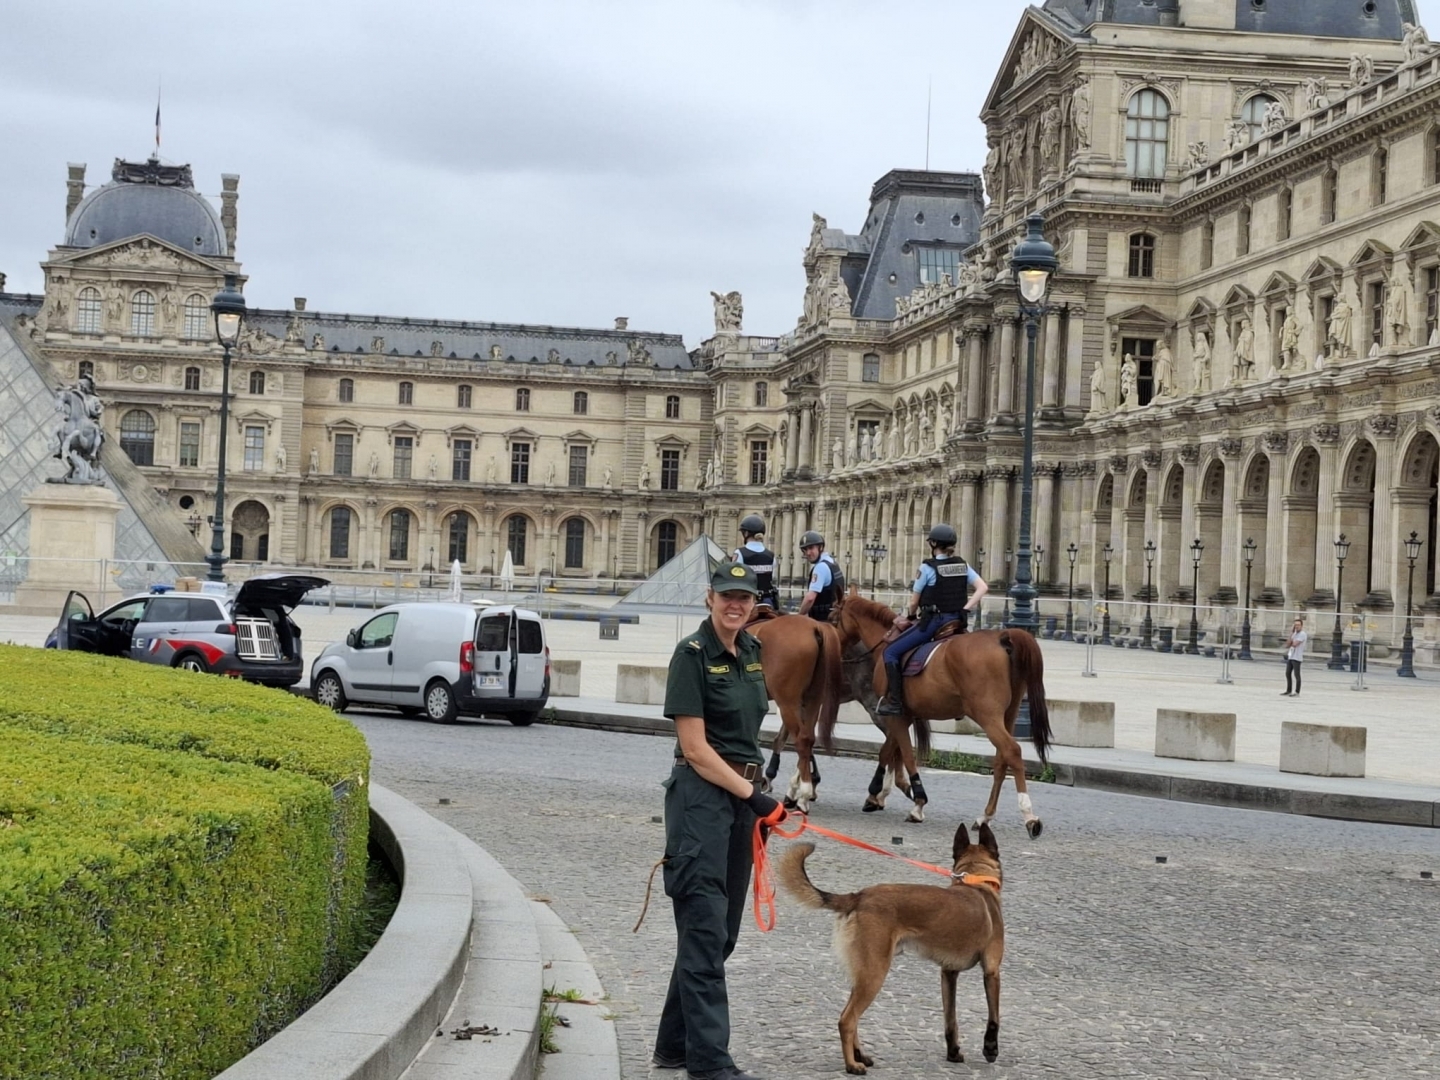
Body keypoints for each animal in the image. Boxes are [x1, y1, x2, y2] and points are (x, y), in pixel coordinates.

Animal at [743, 616, 840, 812]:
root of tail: (815, 627)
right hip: (812, 700)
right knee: (807, 739)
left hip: (788, 701)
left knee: (801, 740)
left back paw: (803, 793)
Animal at [777, 829, 1002, 1077]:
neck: (976, 882)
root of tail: (858, 896)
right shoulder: (992, 971)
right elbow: (993, 1017)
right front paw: (990, 1049)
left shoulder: (948, 974)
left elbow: (950, 1019)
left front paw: (953, 1052)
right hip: (875, 974)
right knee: (847, 1020)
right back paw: (852, 1065)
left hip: (864, 974)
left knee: (850, 1015)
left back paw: (860, 1055)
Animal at [835, 593, 1048, 835]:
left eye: (832, 616)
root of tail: (1002, 638)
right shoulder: (904, 715)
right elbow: (888, 751)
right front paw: (877, 794)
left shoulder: (895, 715)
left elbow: (906, 755)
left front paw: (916, 803)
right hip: (1008, 715)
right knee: (1001, 759)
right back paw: (985, 816)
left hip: (987, 715)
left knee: (1012, 751)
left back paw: (1029, 815)